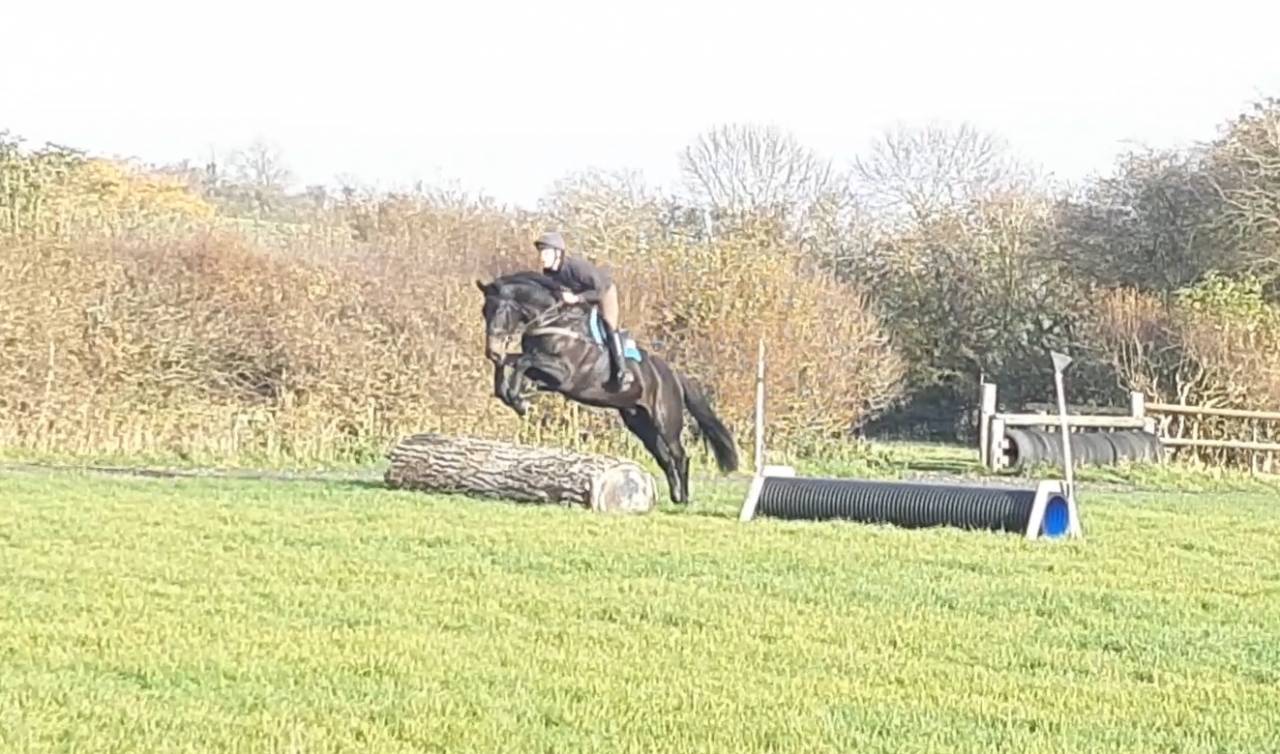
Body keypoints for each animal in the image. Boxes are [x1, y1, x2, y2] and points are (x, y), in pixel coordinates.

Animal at [474, 270, 739, 504]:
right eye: (484, 311)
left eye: (500, 310)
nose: (491, 350)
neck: (554, 321)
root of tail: (673, 374)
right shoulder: (547, 372)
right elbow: (512, 362)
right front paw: (512, 393)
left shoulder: (565, 374)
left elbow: (523, 361)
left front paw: (519, 400)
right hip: (639, 422)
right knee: (663, 457)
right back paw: (674, 496)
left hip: (665, 421)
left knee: (680, 455)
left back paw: (683, 499)